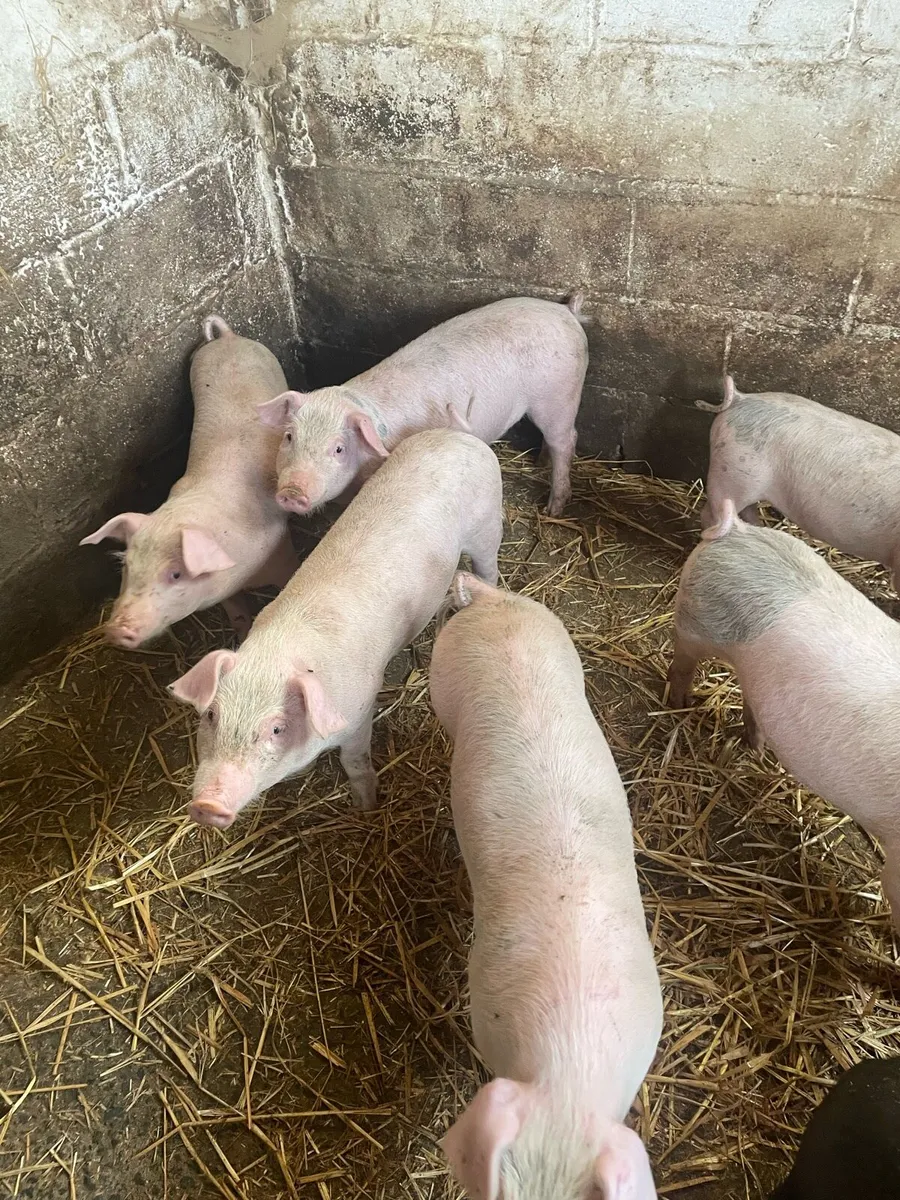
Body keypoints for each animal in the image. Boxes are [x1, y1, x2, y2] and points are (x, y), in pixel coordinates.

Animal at [80, 316, 297, 647]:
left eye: (175, 574)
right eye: (127, 566)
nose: (117, 629)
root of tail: (228, 338)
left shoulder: (281, 551)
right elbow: (237, 615)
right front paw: (240, 635)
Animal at [168, 430, 503, 828]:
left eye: (277, 728)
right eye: (211, 715)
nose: (207, 805)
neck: (279, 651)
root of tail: (460, 437)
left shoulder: (359, 712)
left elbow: (353, 762)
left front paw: (366, 807)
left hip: (487, 527)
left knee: (488, 568)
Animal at [257, 294, 588, 519]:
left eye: (338, 448)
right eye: (289, 437)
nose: (292, 493)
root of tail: (566, 310)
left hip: (559, 394)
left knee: (566, 439)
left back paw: (553, 509)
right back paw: (541, 463)